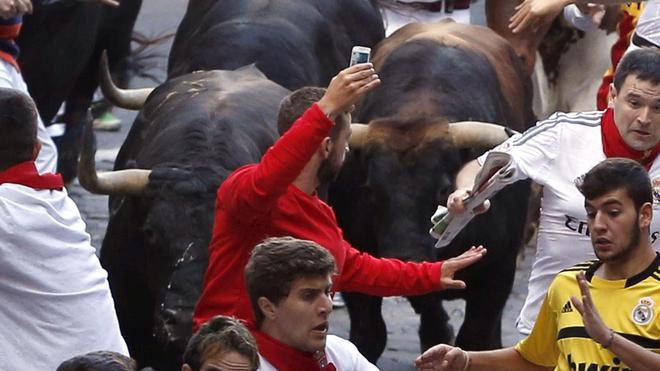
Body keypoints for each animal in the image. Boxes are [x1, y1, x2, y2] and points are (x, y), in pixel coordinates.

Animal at [328, 21, 540, 362]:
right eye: (371, 190)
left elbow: (474, 337)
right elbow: (373, 332)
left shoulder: (499, 271)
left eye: (443, 188)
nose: (406, 257)